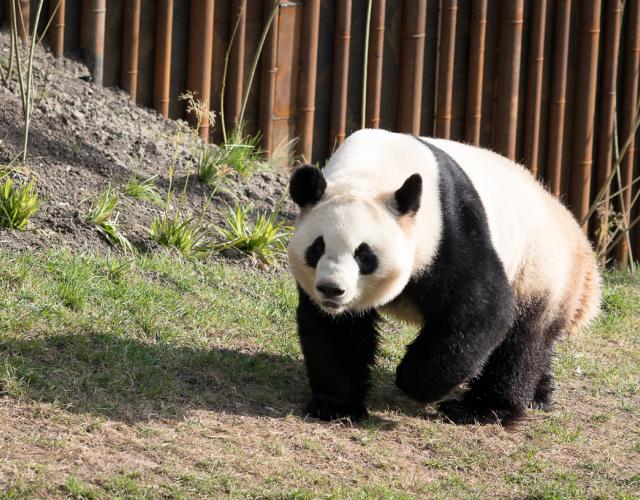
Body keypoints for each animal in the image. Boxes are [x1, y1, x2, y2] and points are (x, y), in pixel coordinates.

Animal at [288, 129, 604, 426]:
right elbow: (337, 333)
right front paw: (335, 405)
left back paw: (482, 409)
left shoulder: (450, 229)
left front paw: (413, 381)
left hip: (538, 269)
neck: (372, 170)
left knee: (523, 342)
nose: (332, 289)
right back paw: (539, 396)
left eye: (364, 254)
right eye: (317, 247)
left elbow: (483, 308)